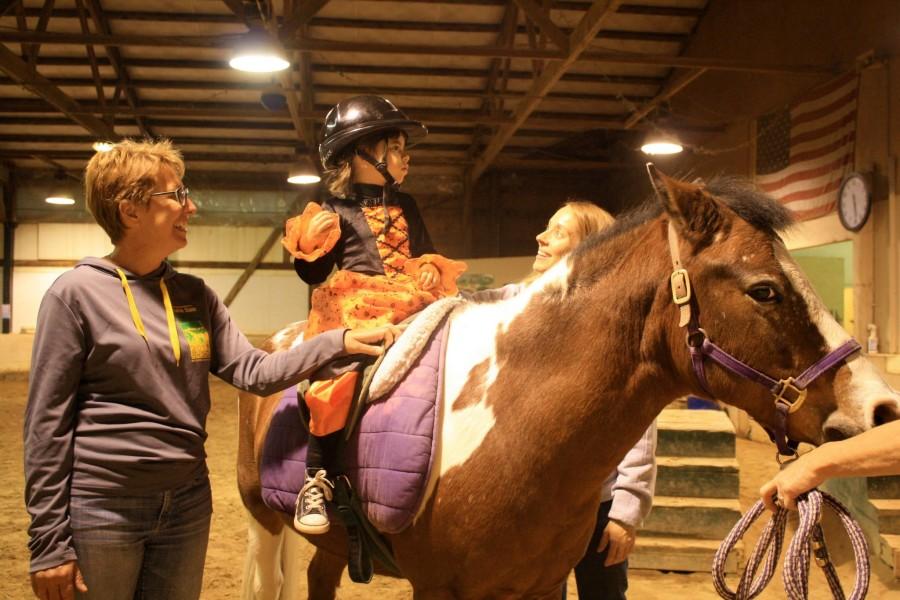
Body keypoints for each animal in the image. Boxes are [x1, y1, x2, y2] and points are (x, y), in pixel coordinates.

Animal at [237, 169, 900, 600]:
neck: (513, 416)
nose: (880, 408)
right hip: (266, 526)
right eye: (765, 289)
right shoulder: (440, 588)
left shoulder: (539, 585)